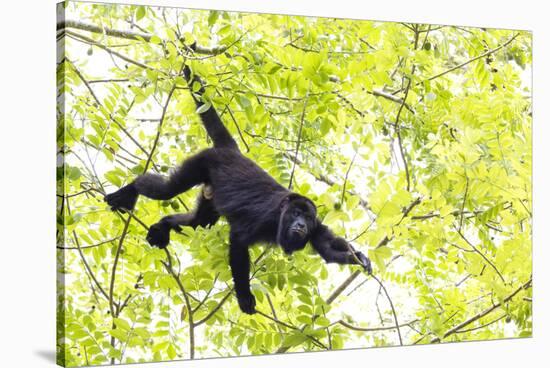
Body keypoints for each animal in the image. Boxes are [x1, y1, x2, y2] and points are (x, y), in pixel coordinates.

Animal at [105, 63, 374, 314]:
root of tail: (231, 150)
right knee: (167, 190)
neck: (281, 219)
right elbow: (238, 240)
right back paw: (128, 193)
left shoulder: (317, 227)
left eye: (307, 218)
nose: (300, 225)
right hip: (201, 161)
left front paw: (358, 257)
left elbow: (328, 250)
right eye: (296, 214)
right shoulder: (265, 218)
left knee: (199, 222)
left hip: (209, 193)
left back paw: (163, 226)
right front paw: (244, 295)